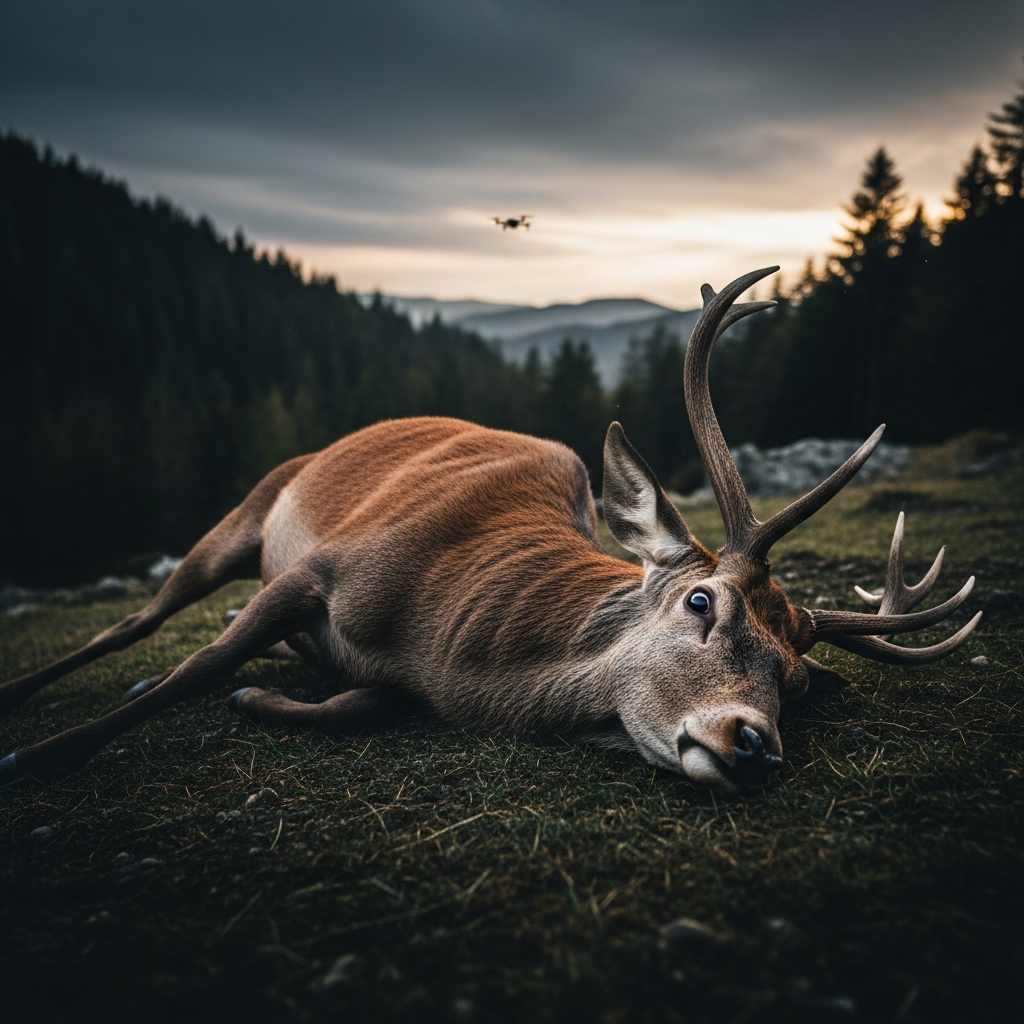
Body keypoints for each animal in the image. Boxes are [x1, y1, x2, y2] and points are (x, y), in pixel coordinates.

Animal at [0, 267, 981, 794]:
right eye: (702, 601)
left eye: (797, 681)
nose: (754, 745)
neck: (439, 633)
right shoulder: (320, 567)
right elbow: (199, 665)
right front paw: (35, 757)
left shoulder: (398, 679)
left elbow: (354, 705)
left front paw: (258, 699)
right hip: (242, 517)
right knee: (139, 622)